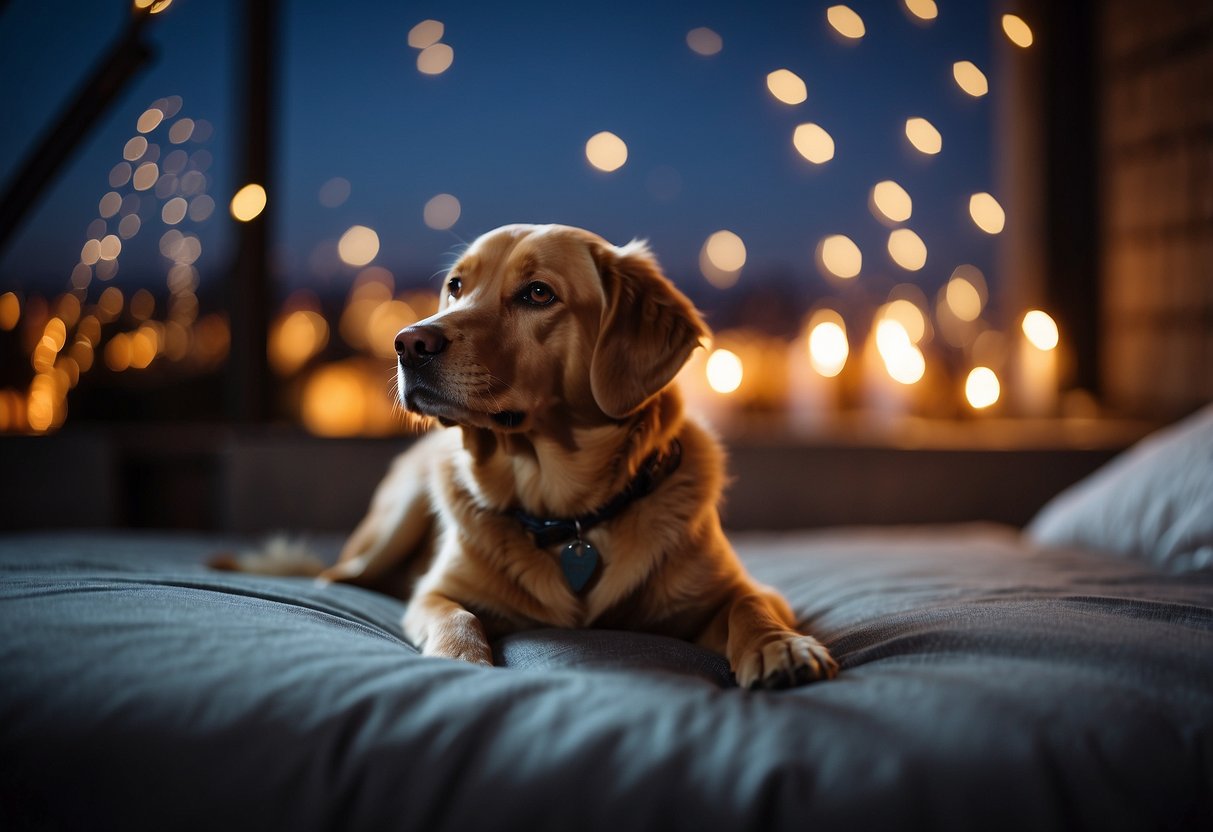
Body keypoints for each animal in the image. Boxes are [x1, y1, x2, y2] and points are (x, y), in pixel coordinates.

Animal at [248, 223, 834, 688]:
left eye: (537, 293)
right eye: (455, 286)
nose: (408, 342)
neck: (566, 515)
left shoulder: (741, 591)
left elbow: (750, 605)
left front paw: (781, 645)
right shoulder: (437, 592)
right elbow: (456, 617)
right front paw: (461, 659)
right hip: (393, 522)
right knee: (337, 577)